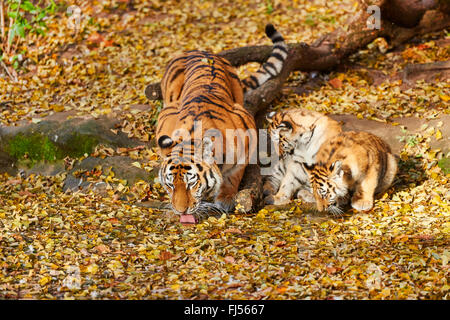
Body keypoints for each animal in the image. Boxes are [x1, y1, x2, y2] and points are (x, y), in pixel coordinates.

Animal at [156, 23, 286, 222]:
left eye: (191, 183)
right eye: (170, 185)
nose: (180, 211)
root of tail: (199, 50)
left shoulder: (246, 135)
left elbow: (233, 176)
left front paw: (225, 199)